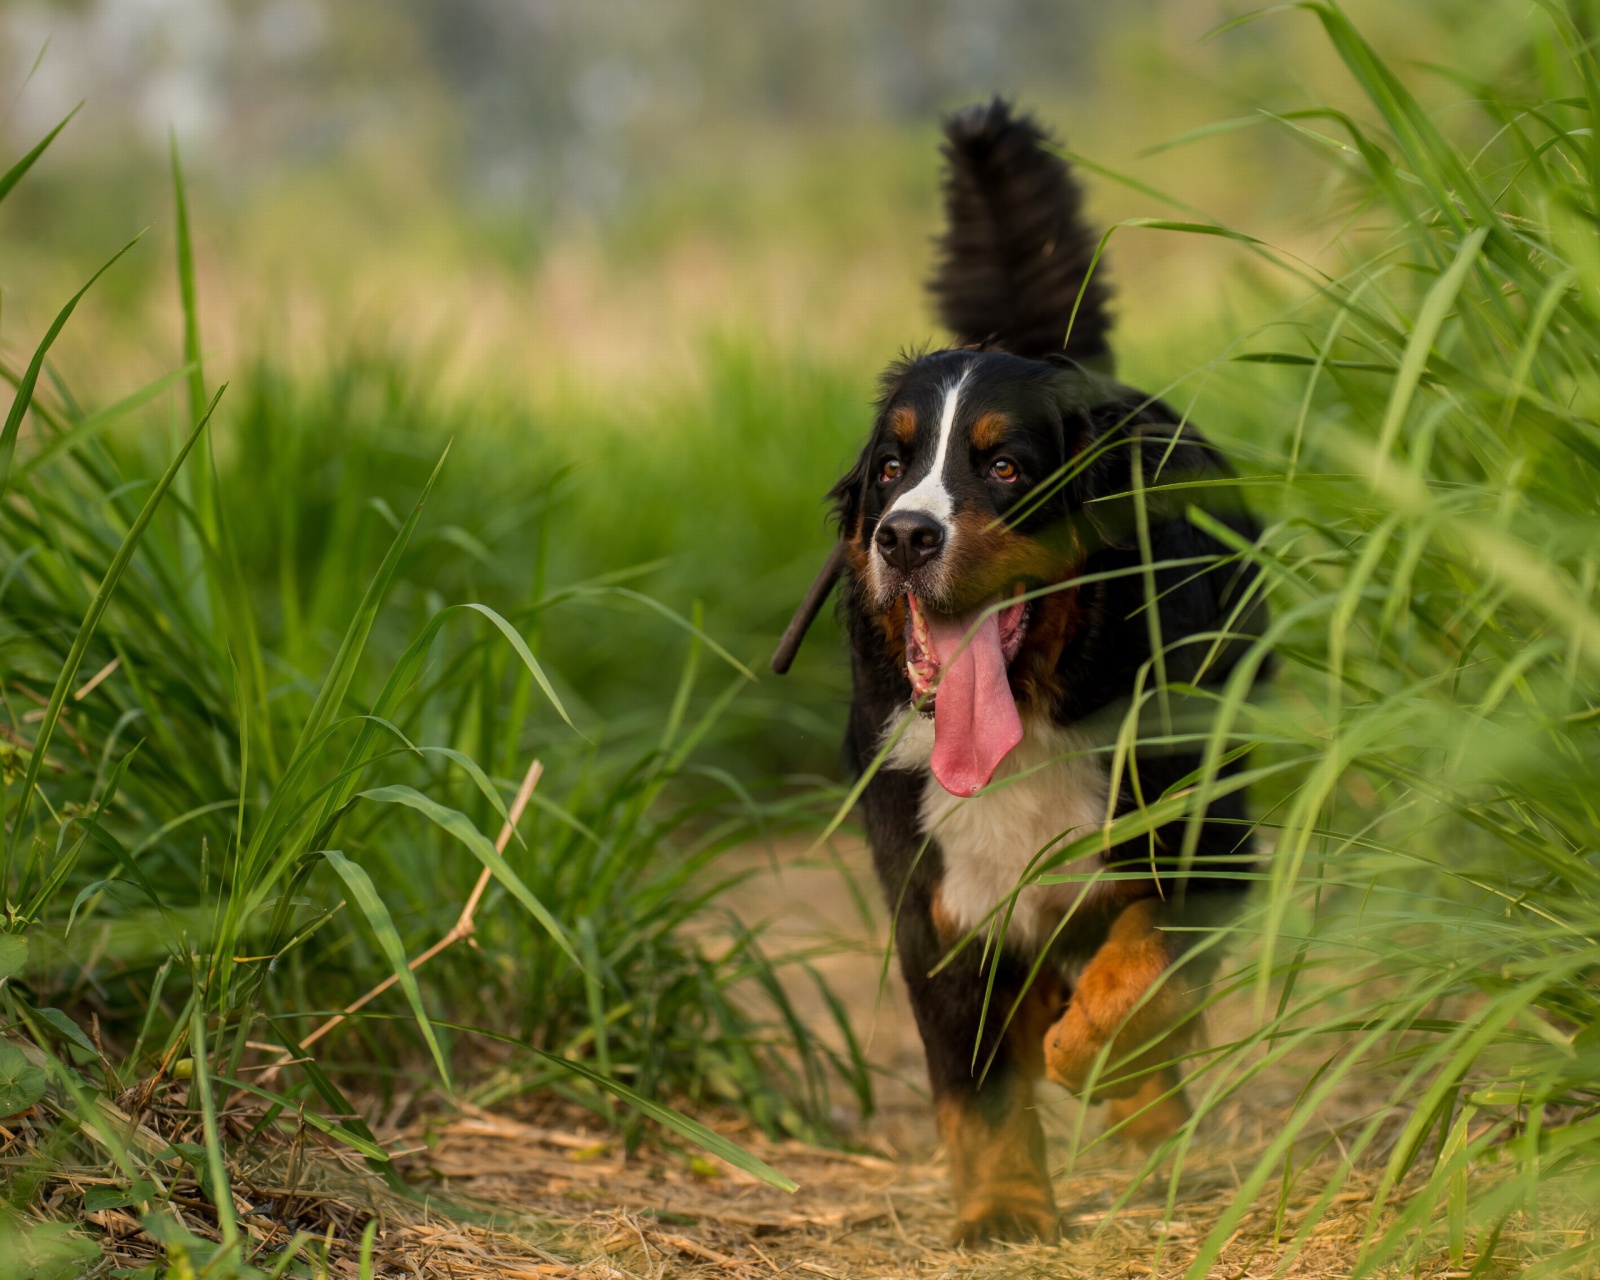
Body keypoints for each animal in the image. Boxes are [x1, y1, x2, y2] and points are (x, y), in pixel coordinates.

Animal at [768, 100, 1267, 1241]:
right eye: (892, 466)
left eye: (1003, 466)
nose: (906, 535)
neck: (1035, 716)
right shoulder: (936, 902)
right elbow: (977, 1082)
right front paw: (1002, 1207)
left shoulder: (1210, 847)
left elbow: (1142, 973)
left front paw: (1103, 1066)